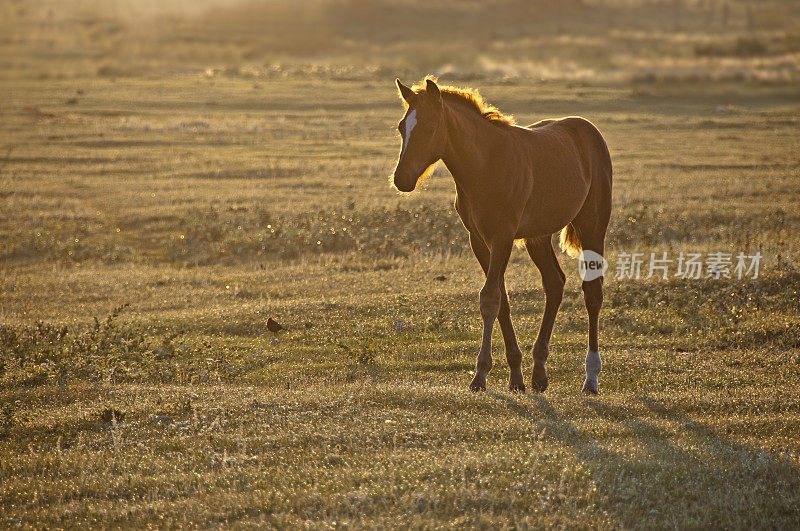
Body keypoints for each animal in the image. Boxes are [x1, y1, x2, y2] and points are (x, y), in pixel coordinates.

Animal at [392, 78, 612, 394]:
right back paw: (539, 372)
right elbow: (501, 300)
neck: (485, 166)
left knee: (592, 292)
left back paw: (591, 378)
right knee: (554, 283)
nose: (401, 179)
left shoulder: (503, 236)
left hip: (592, 225)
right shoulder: (479, 240)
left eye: (431, 127)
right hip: (538, 236)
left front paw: (480, 374)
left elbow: (489, 299)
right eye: (402, 127)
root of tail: (587, 128)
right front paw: (516, 376)